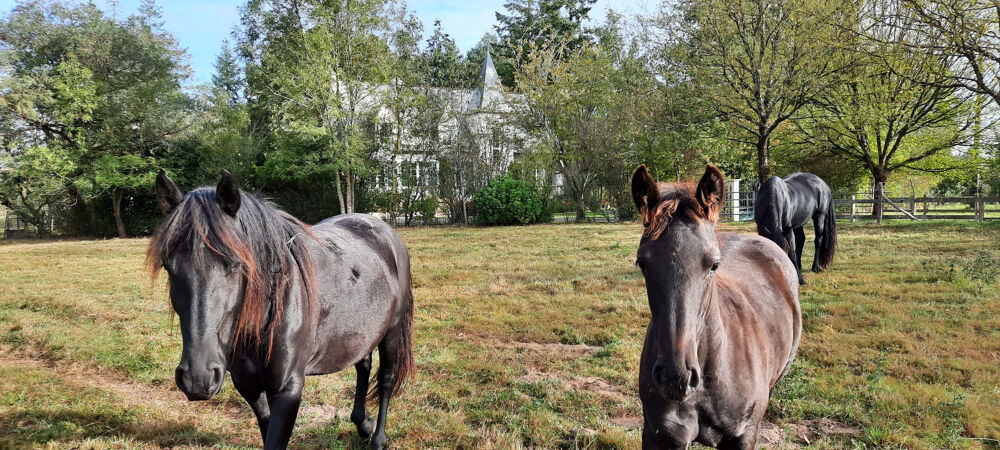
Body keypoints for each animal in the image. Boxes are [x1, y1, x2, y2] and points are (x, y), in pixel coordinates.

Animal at [148, 169, 414, 450]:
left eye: (236, 264)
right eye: (168, 266)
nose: (198, 378)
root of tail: (384, 229)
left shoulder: (288, 389)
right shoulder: (248, 386)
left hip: (392, 332)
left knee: (386, 380)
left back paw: (378, 438)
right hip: (359, 331)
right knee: (362, 365)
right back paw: (363, 424)